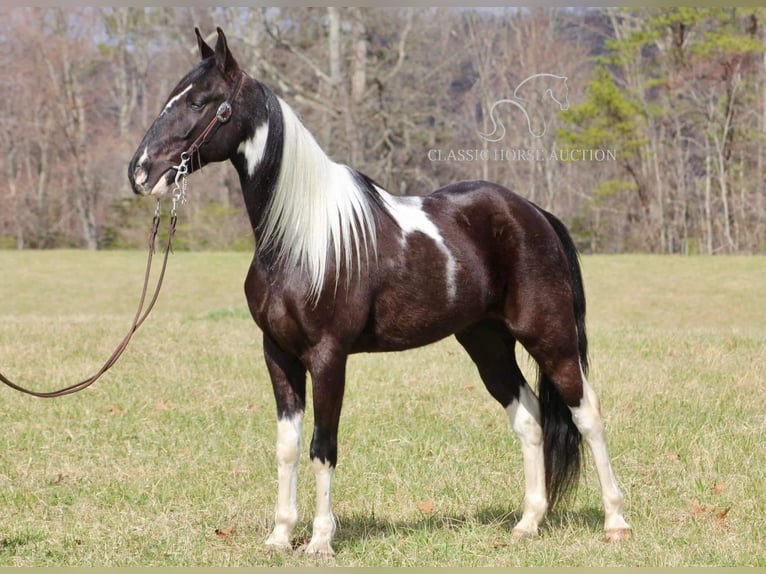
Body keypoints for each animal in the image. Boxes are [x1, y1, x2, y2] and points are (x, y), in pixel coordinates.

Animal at [127, 28, 632, 560]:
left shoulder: (328, 357)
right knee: (530, 418)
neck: (299, 238)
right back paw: (528, 523)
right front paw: (281, 535)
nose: (140, 172)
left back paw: (615, 521)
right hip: (487, 343)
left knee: (587, 415)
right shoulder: (277, 354)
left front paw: (320, 541)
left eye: (202, 102)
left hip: (551, 338)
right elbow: (288, 447)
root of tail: (533, 212)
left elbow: (322, 447)